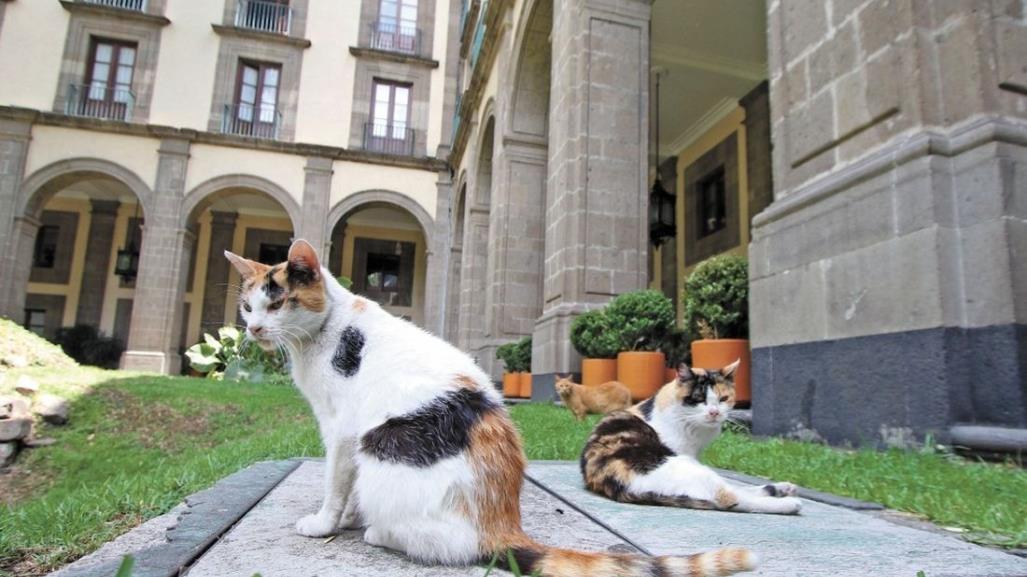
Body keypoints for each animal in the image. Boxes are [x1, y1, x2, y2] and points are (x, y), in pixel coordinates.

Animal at [224, 238, 755, 574]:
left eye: (278, 303)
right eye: (248, 307)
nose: (252, 329)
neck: (323, 334)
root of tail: (502, 526)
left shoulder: (341, 430)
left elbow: (336, 485)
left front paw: (325, 524)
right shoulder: (348, 438)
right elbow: (347, 487)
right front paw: (348, 517)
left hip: (384, 447)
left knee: (448, 546)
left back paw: (380, 533)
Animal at [579, 361, 801, 513]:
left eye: (723, 399)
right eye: (699, 399)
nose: (714, 412)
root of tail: (618, 485)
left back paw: (783, 488)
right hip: (686, 466)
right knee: (730, 497)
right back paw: (789, 503)